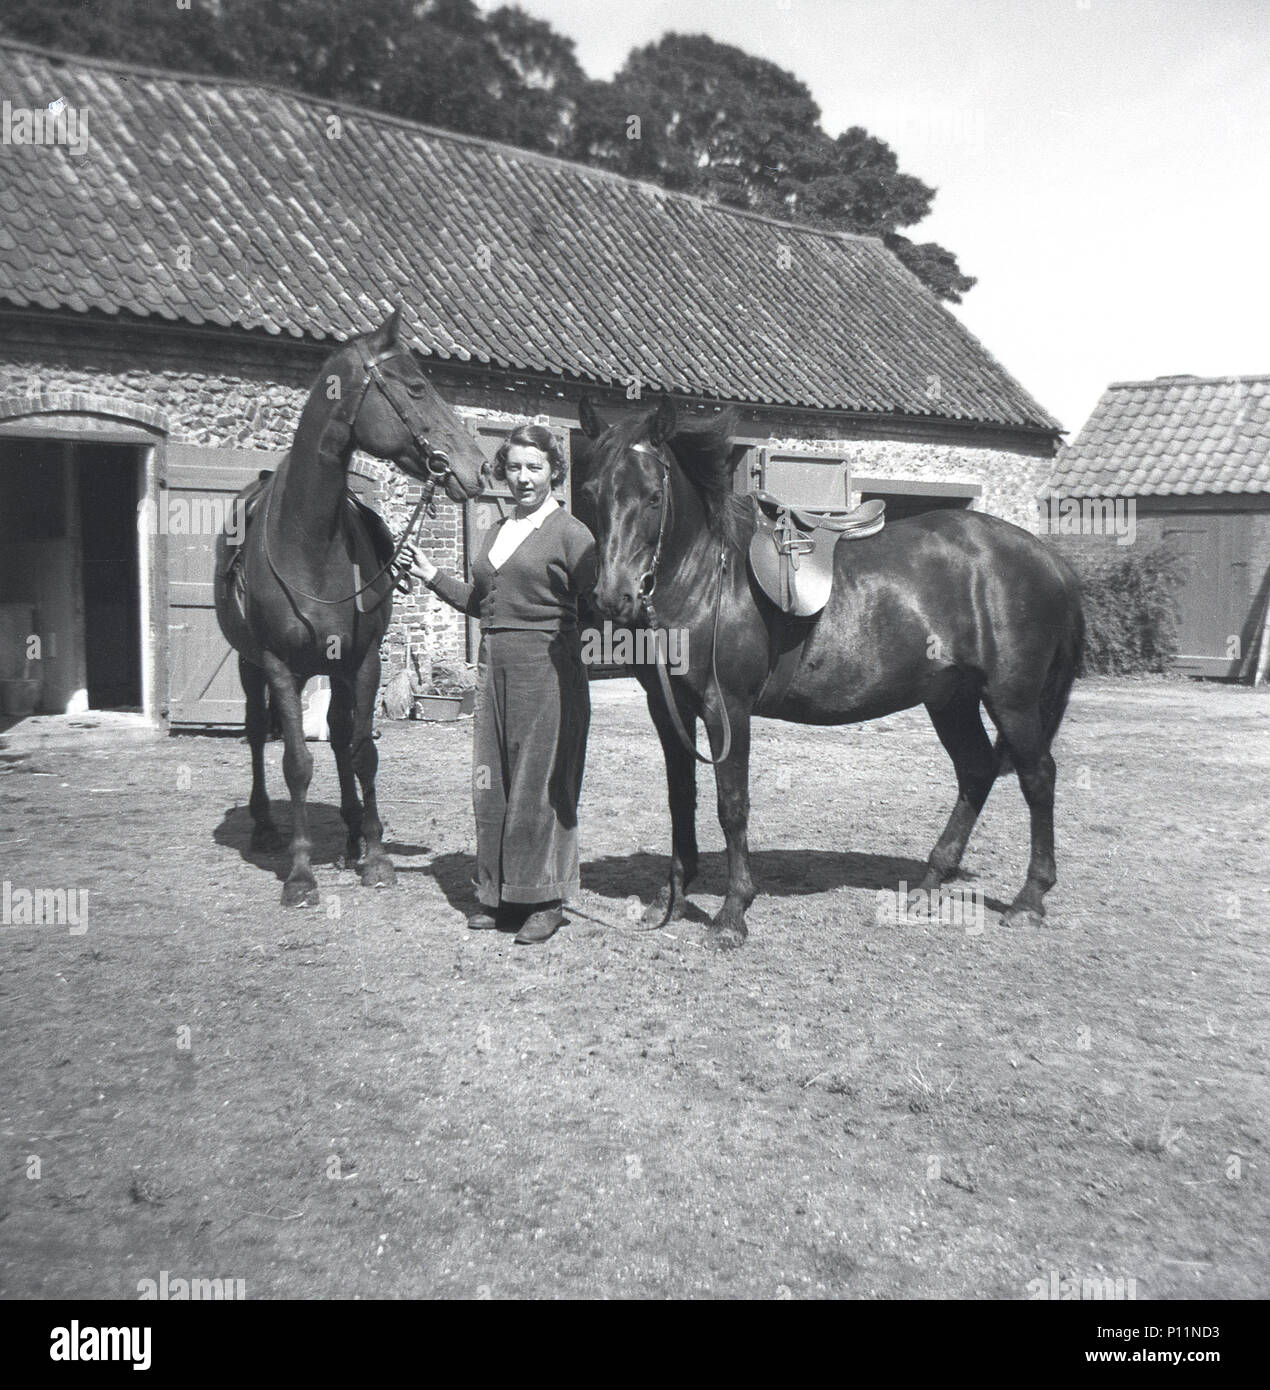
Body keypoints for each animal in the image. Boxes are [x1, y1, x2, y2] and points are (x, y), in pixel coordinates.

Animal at [214, 309, 487, 907]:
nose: (478, 467)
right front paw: (300, 875)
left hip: (336, 668)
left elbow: (362, 752)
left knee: (341, 737)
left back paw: (353, 833)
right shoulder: (280, 668)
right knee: (256, 732)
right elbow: (296, 763)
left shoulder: (363, 662)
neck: (310, 540)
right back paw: (266, 827)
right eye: (416, 386)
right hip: (249, 665)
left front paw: (376, 856)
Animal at [577, 395, 1085, 949]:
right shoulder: (667, 708)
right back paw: (929, 886)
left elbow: (732, 805)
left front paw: (732, 913)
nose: (614, 597)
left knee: (1037, 777)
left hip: (1012, 699)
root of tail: (1050, 561)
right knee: (975, 771)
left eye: (653, 497)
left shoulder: (726, 707)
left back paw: (1029, 899)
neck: (707, 576)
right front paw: (668, 899)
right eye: (591, 493)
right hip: (950, 699)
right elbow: (680, 797)